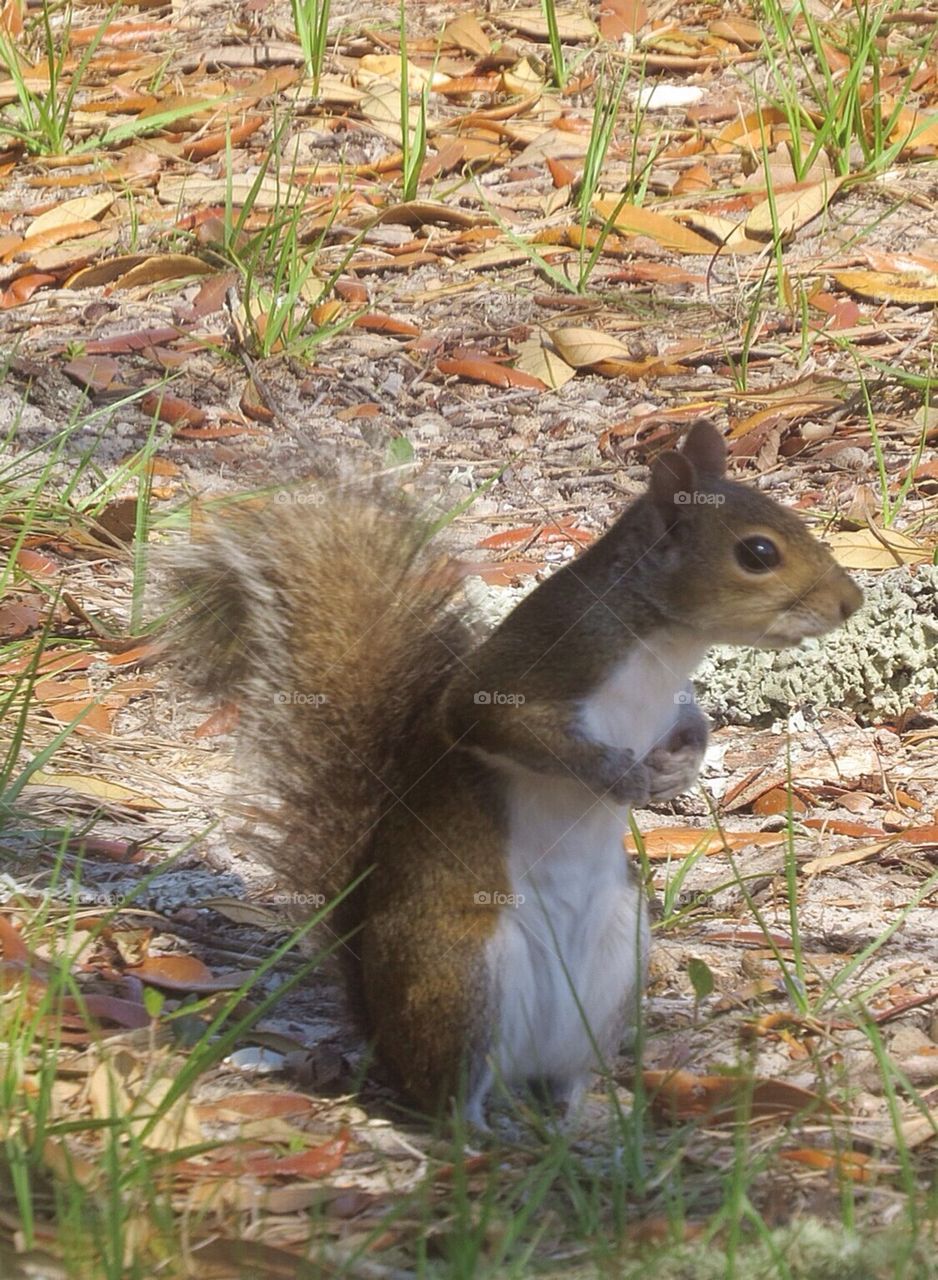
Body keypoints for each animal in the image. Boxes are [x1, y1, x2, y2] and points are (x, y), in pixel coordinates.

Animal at [167, 420, 862, 1126]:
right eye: (757, 552)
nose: (851, 601)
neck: (666, 642)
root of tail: (382, 1032)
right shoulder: (543, 661)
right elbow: (497, 724)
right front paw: (616, 776)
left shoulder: (669, 697)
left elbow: (692, 726)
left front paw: (677, 771)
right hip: (462, 975)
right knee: (448, 1092)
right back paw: (483, 1133)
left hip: (614, 970)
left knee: (561, 1075)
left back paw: (581, 1118)